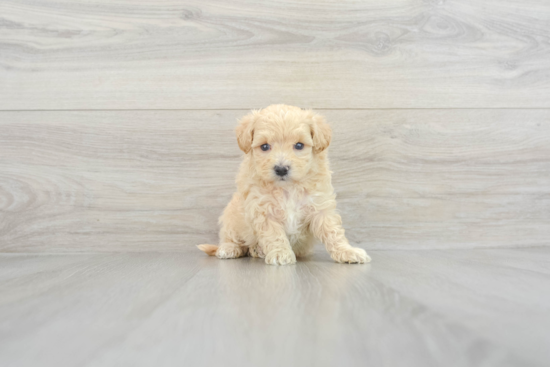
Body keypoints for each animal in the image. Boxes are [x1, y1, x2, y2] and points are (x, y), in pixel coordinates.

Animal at [198, 105, 370, 266]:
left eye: (299, 145)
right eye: (265, 146)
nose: (281, 169)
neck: (288, 188)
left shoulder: (320, 207)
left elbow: (333, 232)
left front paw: (347, 252)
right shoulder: (263, 210)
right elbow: (274, 235)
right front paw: (280, 253)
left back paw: (256, 250)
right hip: (231, 218)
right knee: (231, 238)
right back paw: (229, 248)